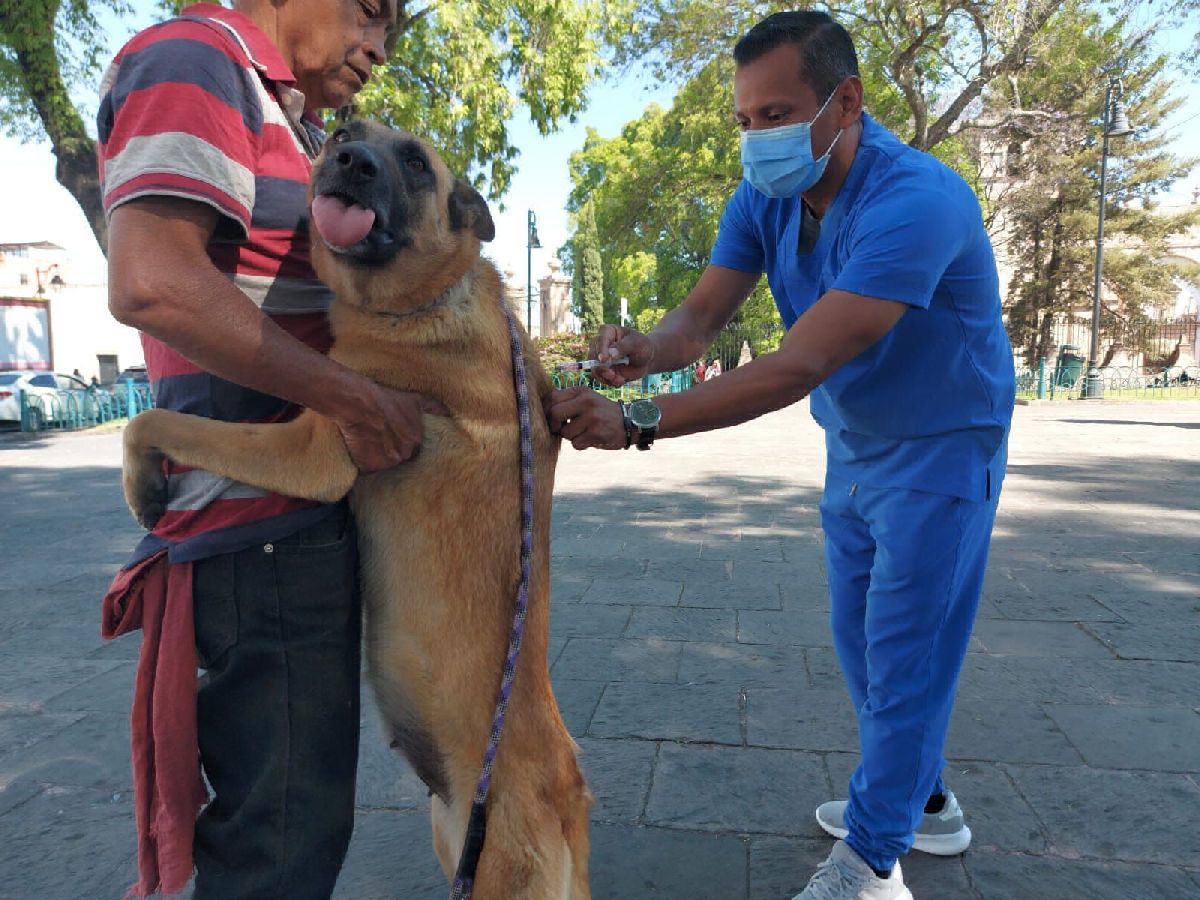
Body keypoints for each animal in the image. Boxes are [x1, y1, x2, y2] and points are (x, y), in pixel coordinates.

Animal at [121, 121, 590, 900]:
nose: (349, 161)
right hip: (450, 837)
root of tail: (569, 796)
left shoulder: (315, 450)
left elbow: (159, 421)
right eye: (344, 133)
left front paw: (142, 481)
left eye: (415, 162)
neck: (430, 297)